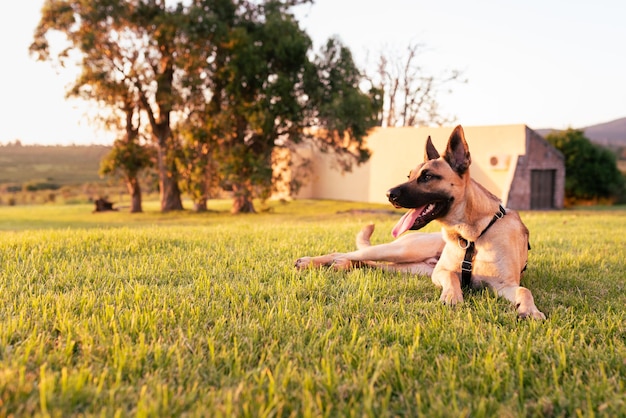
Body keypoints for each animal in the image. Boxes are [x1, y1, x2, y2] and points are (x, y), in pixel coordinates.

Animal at [294, 124, 544, 320]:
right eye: (410, 176)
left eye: (427, 176)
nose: (388, 194)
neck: (474, 234)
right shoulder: (440, 271)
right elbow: (452, 276)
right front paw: (452, 296)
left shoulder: (505, 285)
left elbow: (524, 290)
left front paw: (530, 310)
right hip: (401, 251)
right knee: (344, 253)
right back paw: (311, 262)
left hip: (409, 267)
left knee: (369, 263)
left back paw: (344, 266)